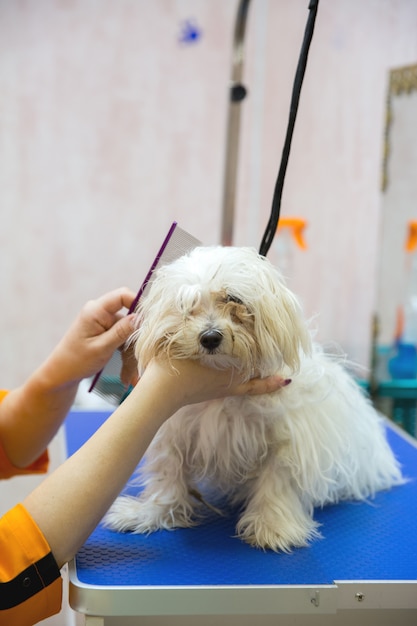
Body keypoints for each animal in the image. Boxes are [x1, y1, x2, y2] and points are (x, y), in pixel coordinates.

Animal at [104, 246, 404, 548]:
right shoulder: (175, 433)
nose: (210, 337)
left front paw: (273, 526)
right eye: (187, 305)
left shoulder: (285, 442)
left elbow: (277, 482)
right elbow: (169, 476)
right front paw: (150, 513)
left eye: (234, 299)